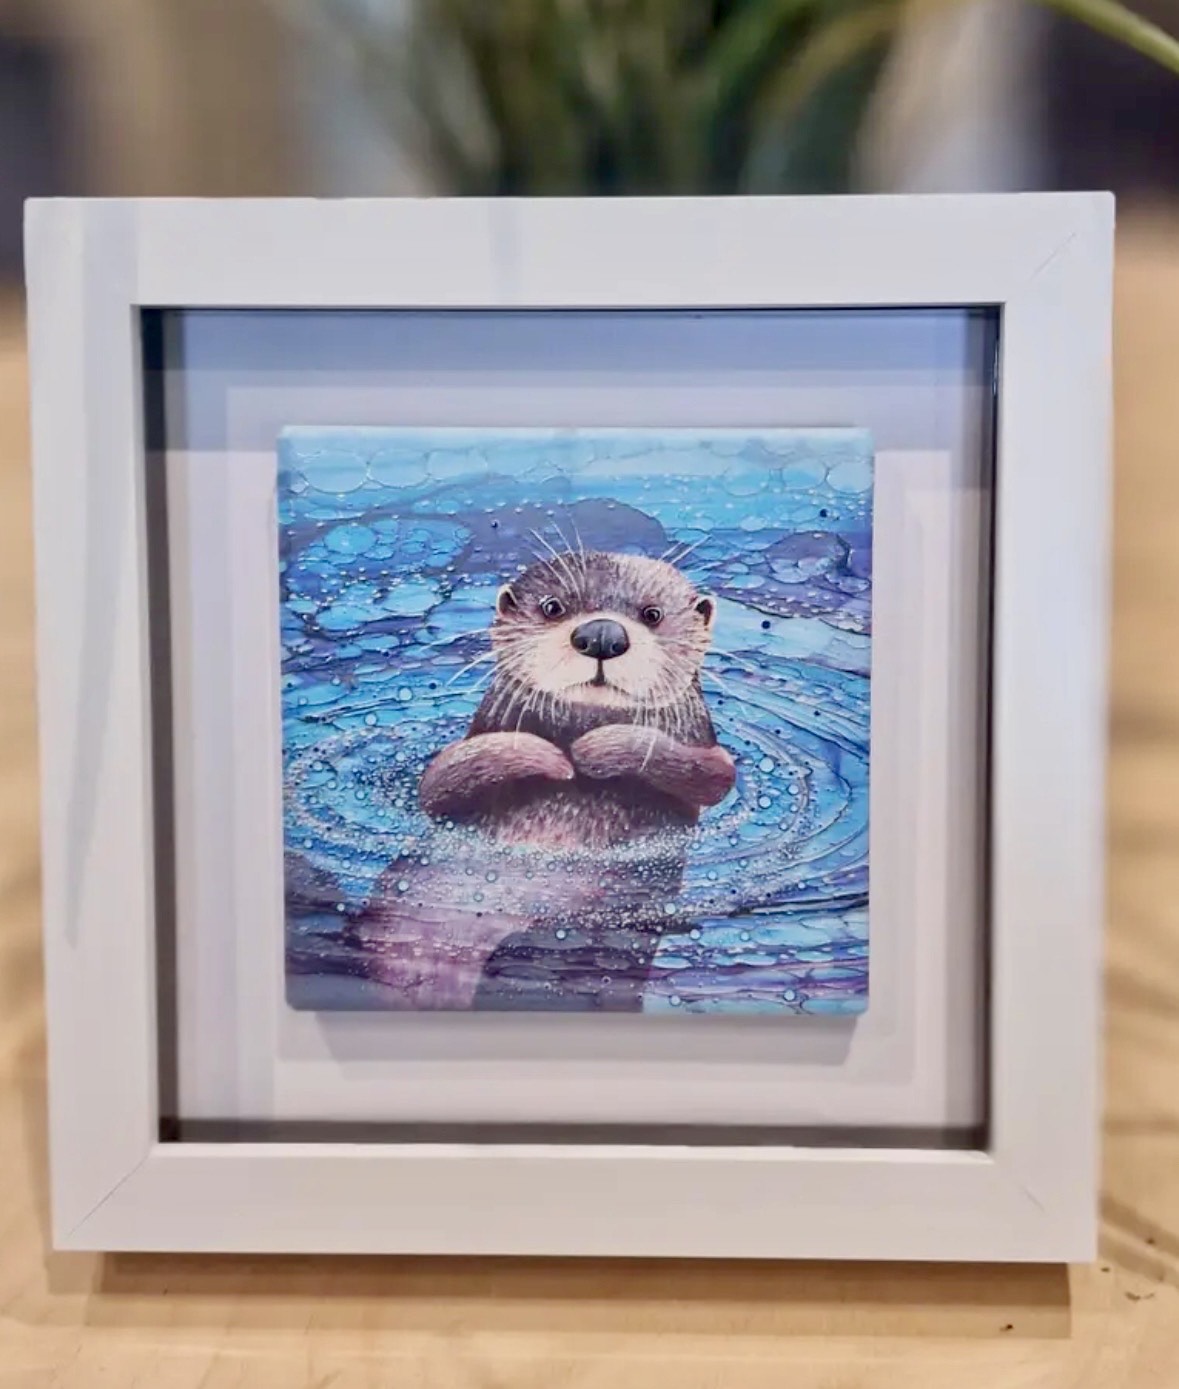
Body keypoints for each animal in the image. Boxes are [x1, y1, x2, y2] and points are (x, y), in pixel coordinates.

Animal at [352, 551, 736, 1011]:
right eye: (553, 607)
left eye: (652, 614)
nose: (602, 634)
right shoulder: (452, 766)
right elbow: (440, 780)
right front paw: (549, 756)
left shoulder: (707, 755)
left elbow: (713, 774)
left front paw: (597, 748)